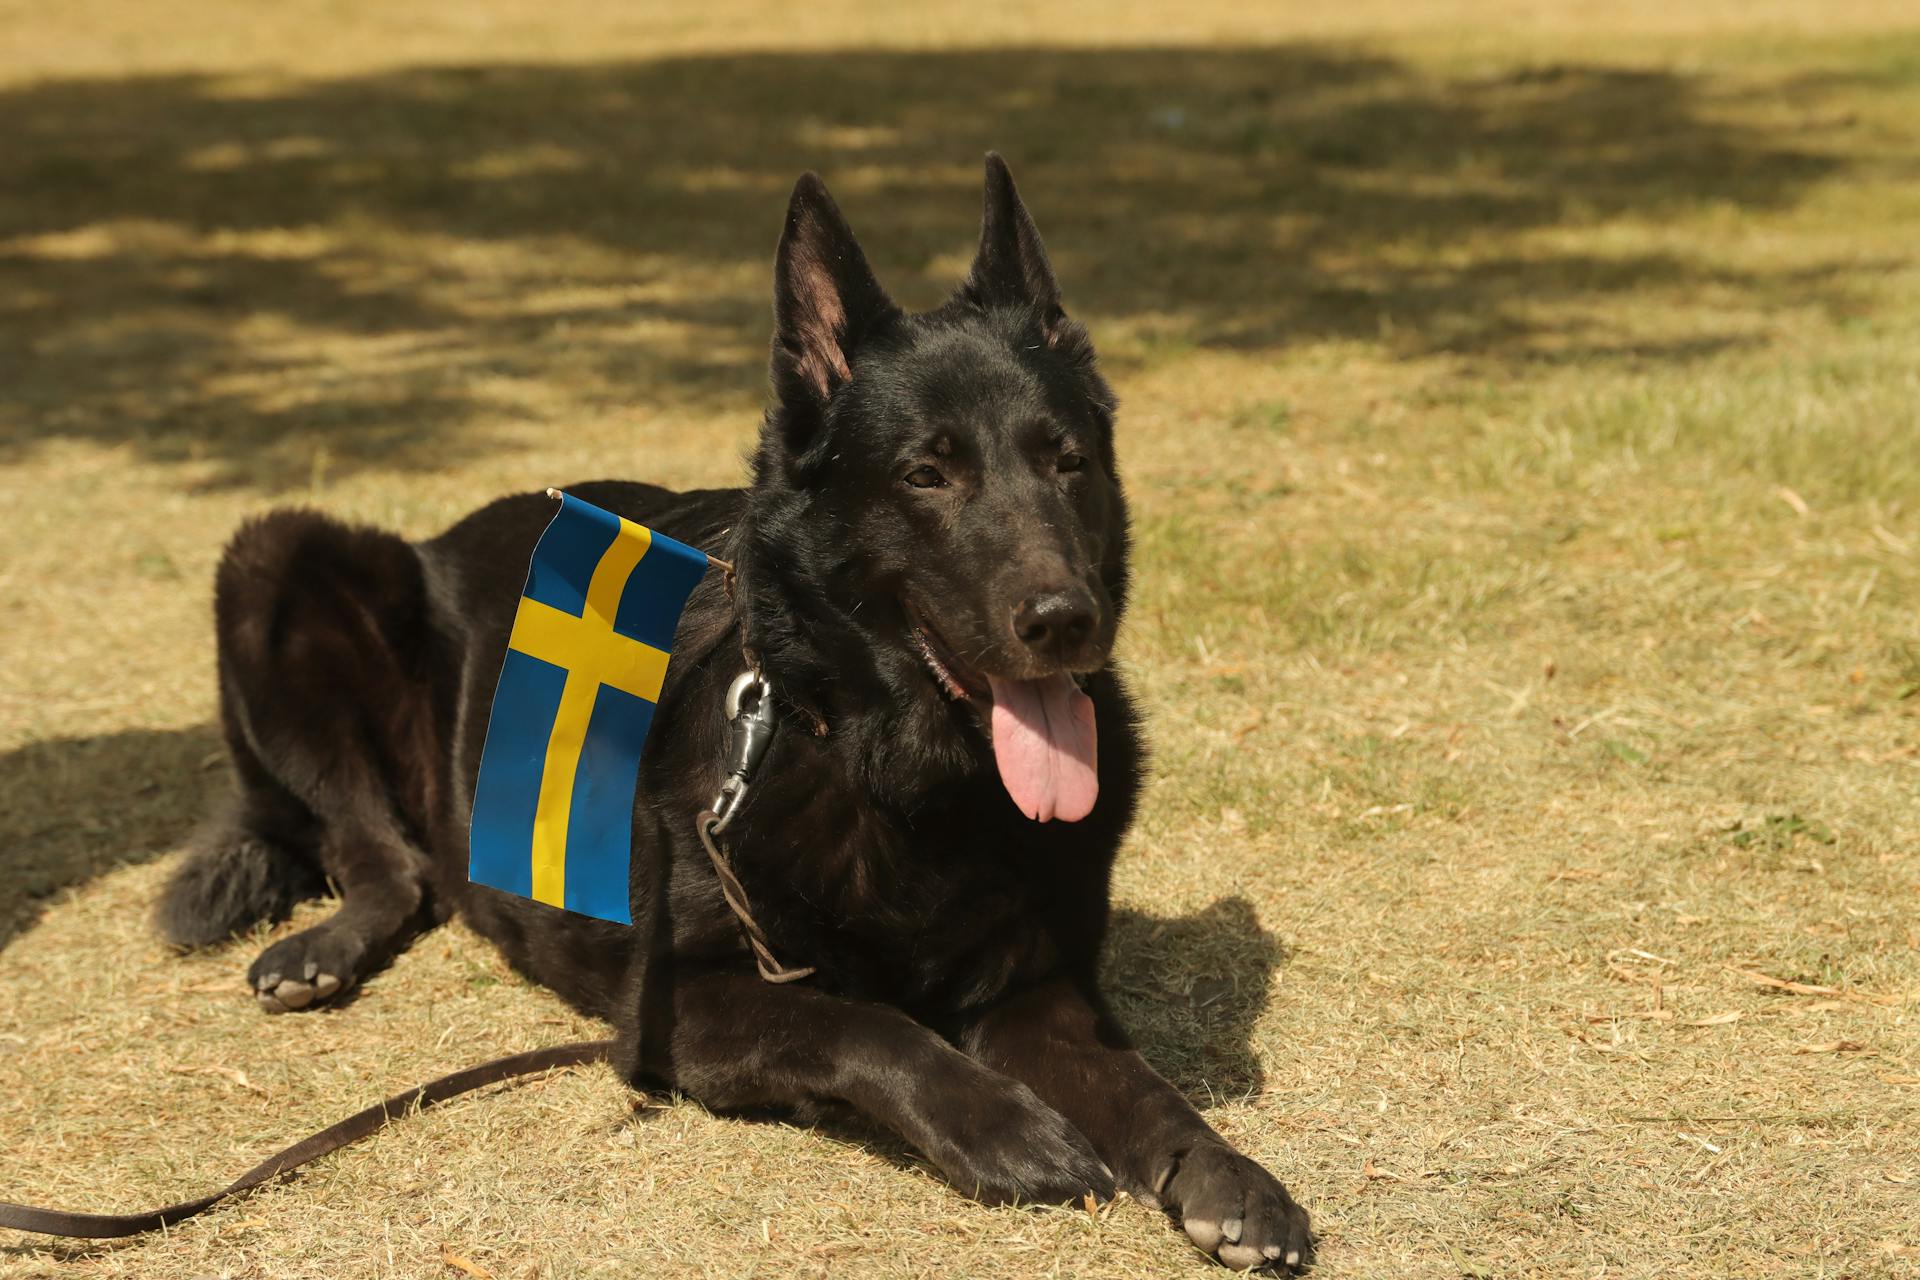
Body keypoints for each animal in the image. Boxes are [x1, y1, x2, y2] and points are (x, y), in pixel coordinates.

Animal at [161, 155, 1305, 1266]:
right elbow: (867, 1026)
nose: (1067, 621)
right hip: (274, 559)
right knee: (379, 856)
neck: (887, 773)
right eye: (927, 474)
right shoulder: (683, 1005)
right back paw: (324, 947)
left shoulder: (1033, 986)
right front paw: (1001, 1122)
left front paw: (1219, 1169)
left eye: (1068, 461)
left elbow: (1138, 1081)